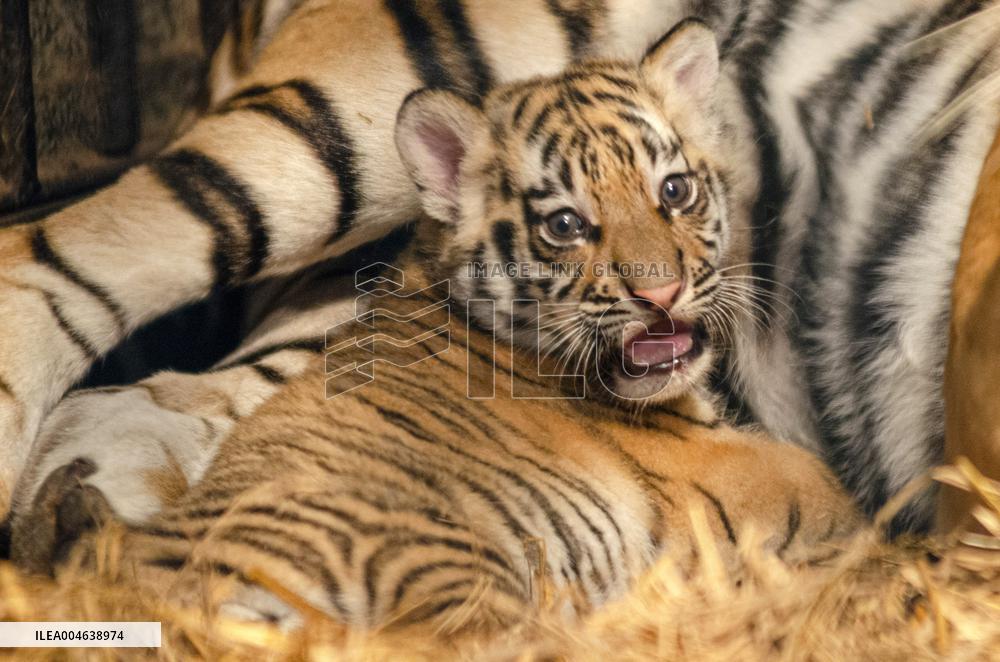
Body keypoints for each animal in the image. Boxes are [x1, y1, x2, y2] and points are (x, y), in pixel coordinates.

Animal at [9, 28, 859, 633]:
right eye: (564, 226)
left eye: (674, 191)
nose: (661, 294)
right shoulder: (741, 473)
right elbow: (830, 493)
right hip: (431, 552)